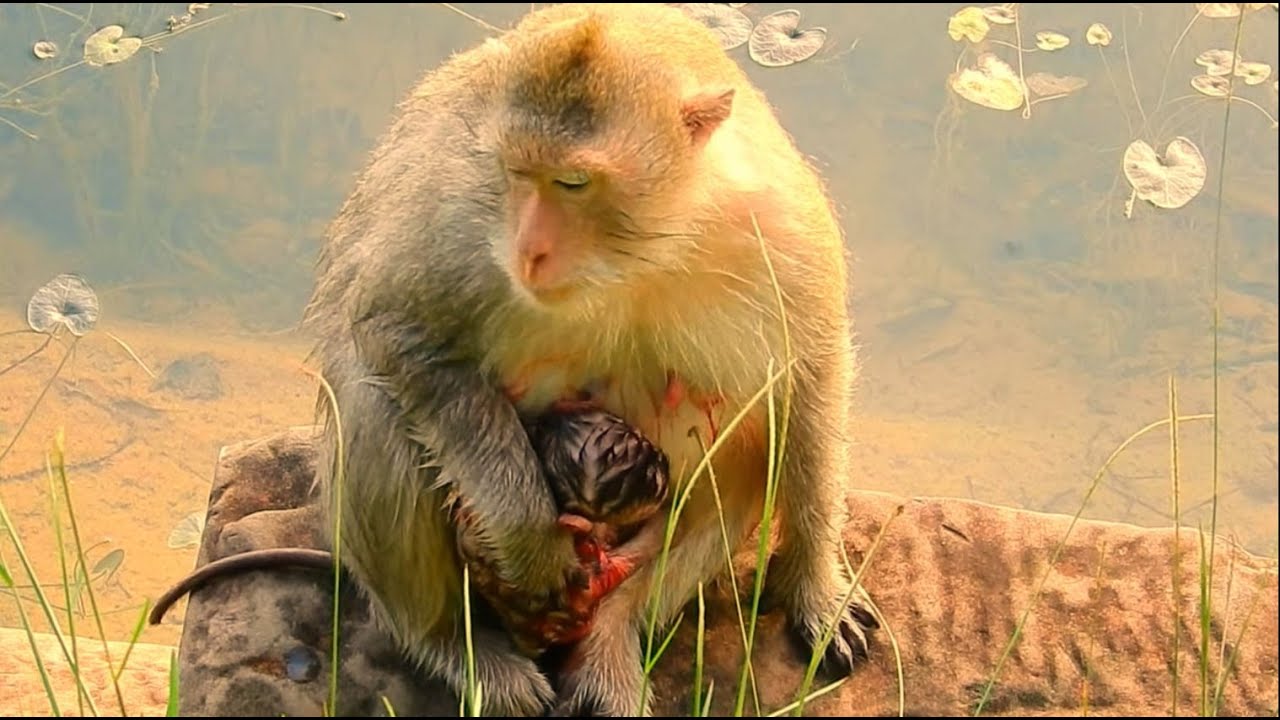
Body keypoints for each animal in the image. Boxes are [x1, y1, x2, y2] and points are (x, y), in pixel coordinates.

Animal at [302, 3, 878, 715]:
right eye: (515, 173)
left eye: (573, 182)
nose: (529, 251)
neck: (633, 258)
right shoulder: (457, 212)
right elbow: (398, 332)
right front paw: (531, 543)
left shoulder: (780, 232)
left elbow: (810, 374)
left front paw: (818, 589)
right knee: (370, 404)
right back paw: (454, 645)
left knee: (749, 447)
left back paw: (611, 636)